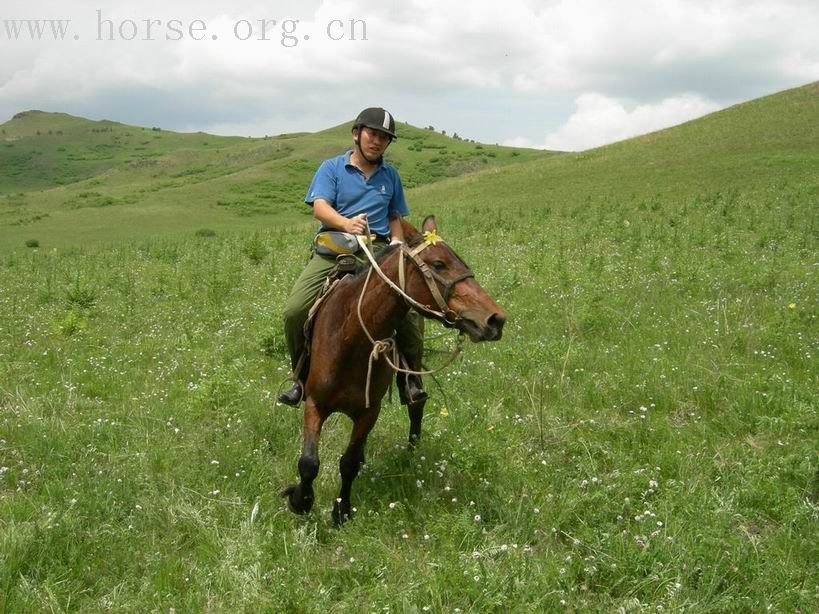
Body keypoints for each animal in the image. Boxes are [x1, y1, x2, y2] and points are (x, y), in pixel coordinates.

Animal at [282, 217, 506, 524]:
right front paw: (300, 501)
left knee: (415, 404)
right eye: (438, 264)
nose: (496, 320)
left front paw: (341, 511)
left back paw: (412, 450)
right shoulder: (315, 403)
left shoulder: (369, 411)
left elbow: (348, 464)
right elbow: (309, 463)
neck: (350, 337)